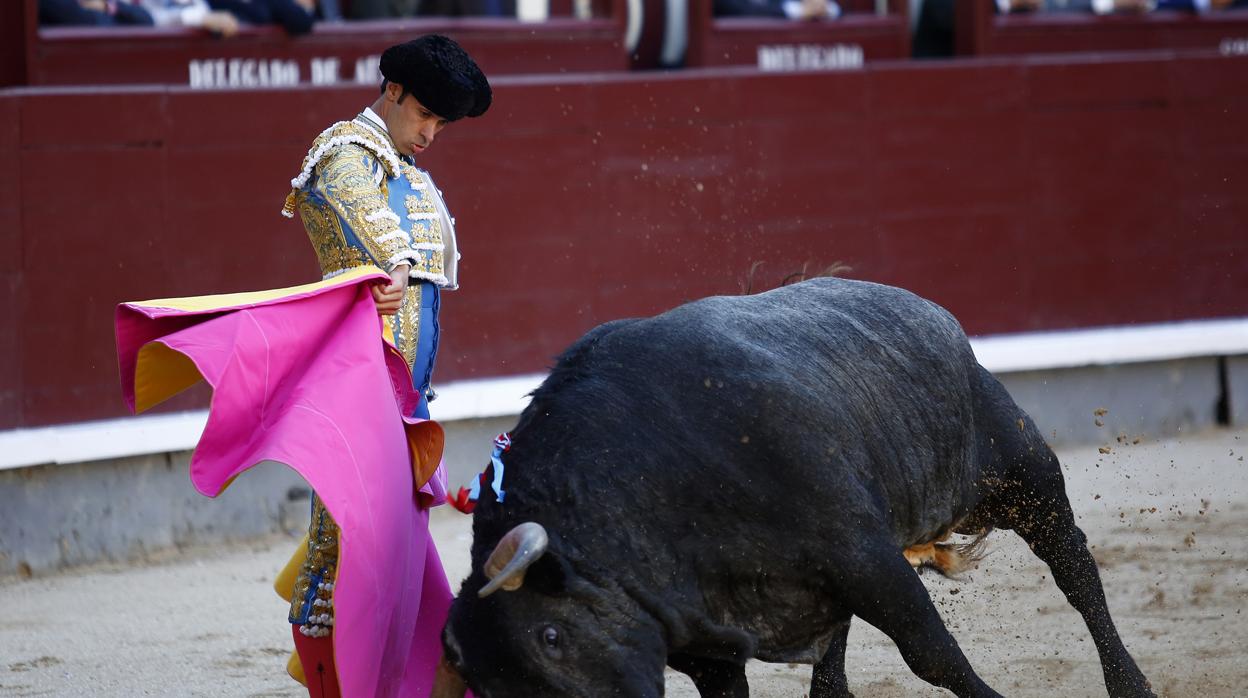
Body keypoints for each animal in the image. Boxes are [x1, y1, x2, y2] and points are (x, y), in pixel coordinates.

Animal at [436, 279, 1148, 698]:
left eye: (551, 637)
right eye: (489, 687)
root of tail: (925, 308)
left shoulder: (864, 555)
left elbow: (932, 654)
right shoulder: (706, 641)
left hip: (1022, 473)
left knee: (1076, 570)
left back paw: (1130, 683)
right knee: (832, 654)